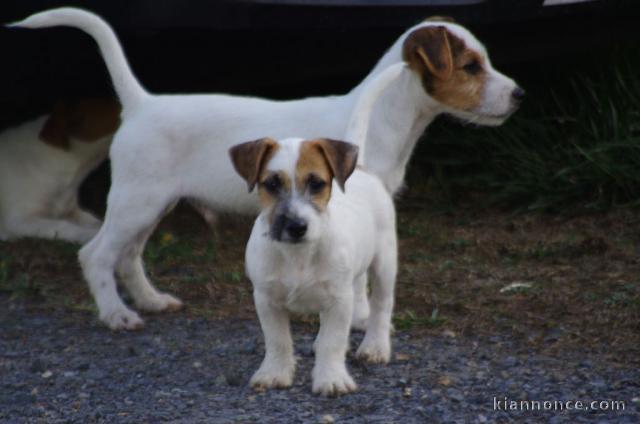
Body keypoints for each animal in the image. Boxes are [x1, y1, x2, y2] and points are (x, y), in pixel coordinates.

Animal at [232, 137, 398, 398]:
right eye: (272, 184)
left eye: (317, 184)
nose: (297, 226)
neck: (298, 254)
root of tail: (360, 169)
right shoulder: (266, 299)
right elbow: (277, 340)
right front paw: (275, 373)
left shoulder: (339, 300)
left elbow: (334, 341)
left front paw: (331, 378)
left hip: (385, 261)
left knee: (382, 304)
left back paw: (376, 346)